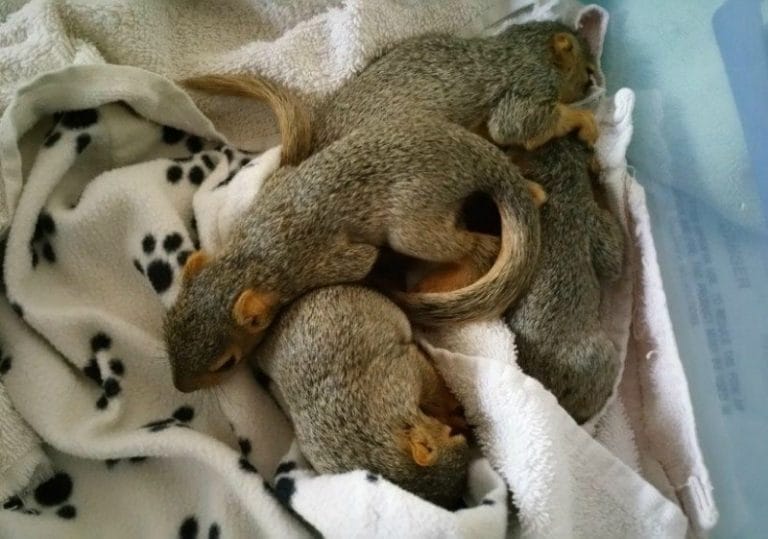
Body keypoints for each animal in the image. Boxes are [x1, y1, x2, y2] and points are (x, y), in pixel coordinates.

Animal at [164, 118, 542, 392]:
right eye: (167, 329)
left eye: (225, 364)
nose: (181, 389)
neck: (251, 256)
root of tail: (474, 158)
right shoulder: (274, 187)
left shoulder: (318, 263)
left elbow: (364, 260)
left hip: (414, 225)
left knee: (479, 248)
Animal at [182, 20, 598, 164]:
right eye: (587, 69)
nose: (593, 83)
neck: (522, 50)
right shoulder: (527, 84)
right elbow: (515, 126)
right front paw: (585, 121)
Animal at [253, 285, 469, 509]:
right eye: (453, 435)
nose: (466, 432)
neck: (375, 442)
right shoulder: (402, 374)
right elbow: (432, 385)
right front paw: (453, 409)